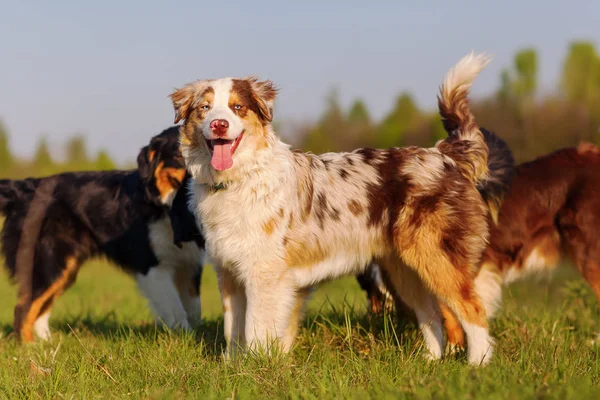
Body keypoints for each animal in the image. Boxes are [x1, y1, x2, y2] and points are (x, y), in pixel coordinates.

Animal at [0, 126, 205, 342]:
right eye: (179, 156)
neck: (162, 204)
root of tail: (24, 188)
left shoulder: (189, 263)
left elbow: (194, 307)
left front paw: (197, 334)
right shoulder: (152, 265)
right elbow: (175, 308)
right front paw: (186, 336)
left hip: (64, 268)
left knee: (41, 306)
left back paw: (46, 342)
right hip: (49, 262)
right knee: (23, 306)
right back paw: (30, 345)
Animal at [173, 53, 506, 366]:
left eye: (237, 107)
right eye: (205, 108)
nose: (219, 124)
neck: (238, 179)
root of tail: (444, 155)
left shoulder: (263, 275)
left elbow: (256, 328)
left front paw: (257, 368)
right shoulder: (229, 273)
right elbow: (233, 330)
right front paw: (232, 366)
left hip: (437, 259)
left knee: (473, 310)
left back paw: (477, 364)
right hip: (406, 270)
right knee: (432, 315)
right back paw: (430, 362)